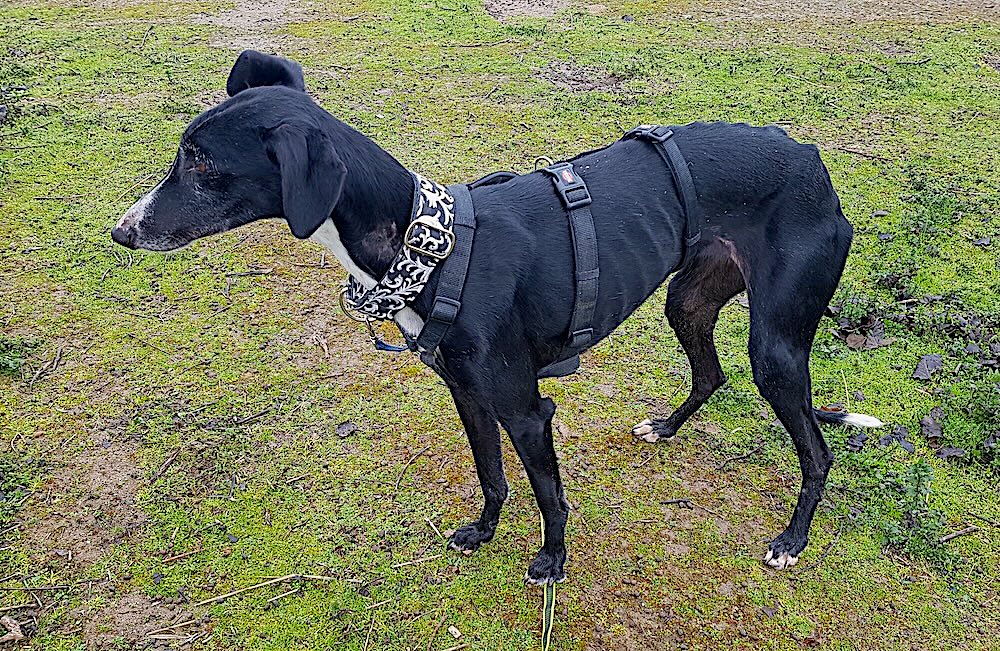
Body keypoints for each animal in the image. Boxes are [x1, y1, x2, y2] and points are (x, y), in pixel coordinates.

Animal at [112, 50, 883, 585]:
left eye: (199, 162)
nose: (122, 232)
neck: (430, 243)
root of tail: (811, 158)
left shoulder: (525, 407)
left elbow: (550, 493)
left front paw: (552, 561)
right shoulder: (467, 394)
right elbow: (491, 474)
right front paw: (482, 531)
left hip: (776, 344)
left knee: (817, 450)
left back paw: (792, 540)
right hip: (688, 299)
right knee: (711, 373)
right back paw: (665, 426)